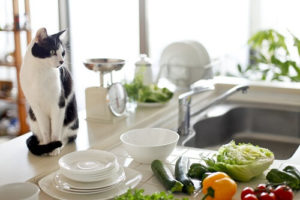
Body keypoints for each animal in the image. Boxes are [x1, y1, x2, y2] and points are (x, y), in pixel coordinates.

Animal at [20, 27, 78, 156]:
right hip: (32, 116)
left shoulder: (59, 104)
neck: (40, 73)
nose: (62, 61)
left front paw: (54, 148)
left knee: (68, 135)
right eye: (52, 51)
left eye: (63, 53)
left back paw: (61, 144)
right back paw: (42, 144)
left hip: (71, 118)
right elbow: (46, 130)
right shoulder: (37, 108)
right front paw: (48, 146)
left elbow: (55, 130)